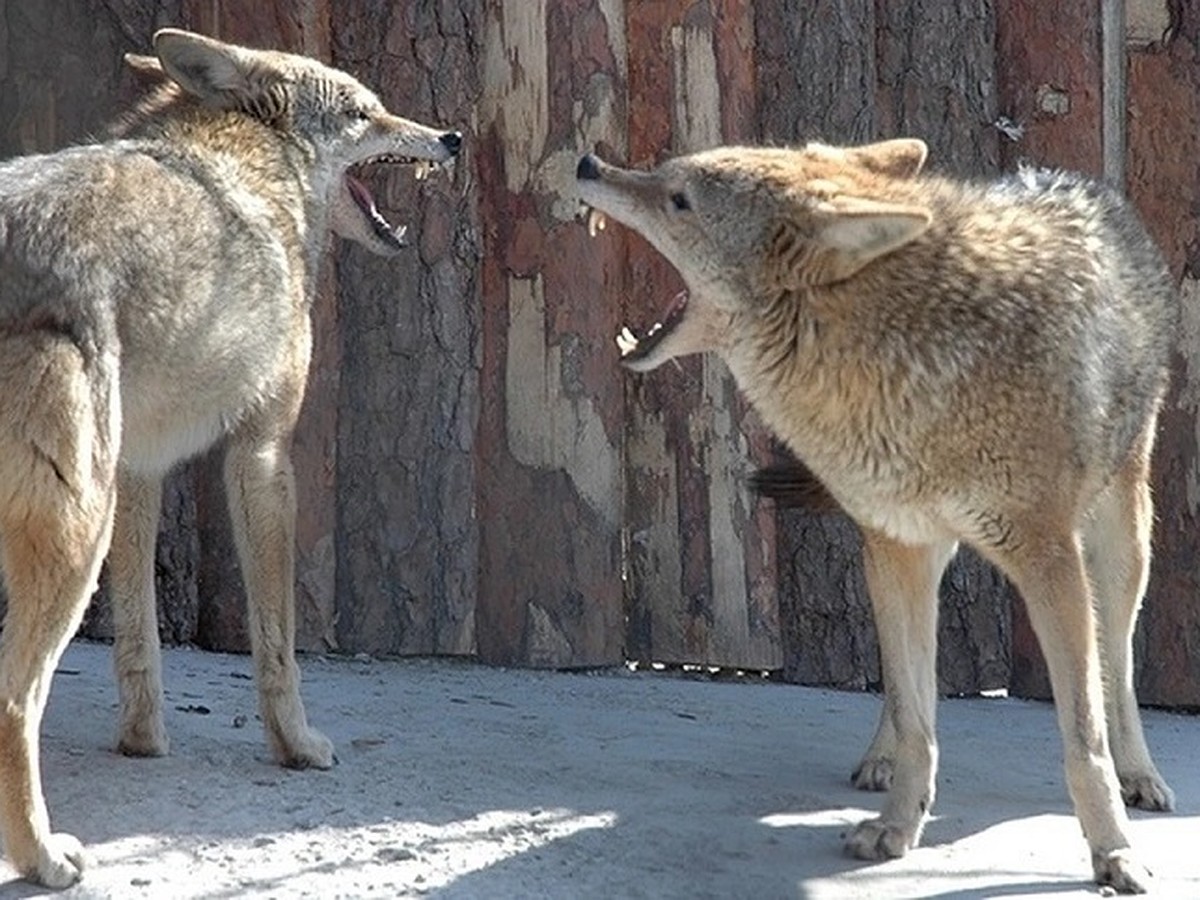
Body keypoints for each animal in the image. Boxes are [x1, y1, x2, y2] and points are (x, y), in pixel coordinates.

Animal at [0, 28, 458, 888]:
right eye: (365, 112)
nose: (450, 137)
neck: (251, 167)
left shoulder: (139, 472)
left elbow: (141, 639)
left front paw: (143, 741)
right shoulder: (264, 454)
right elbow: (277, 642)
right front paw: (297, 748)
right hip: (74, 537)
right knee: (15, 703)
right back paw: (43, 857)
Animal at [576, 141, 1176, 897]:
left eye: (678, 198)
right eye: (663, 175)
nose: (588, 163)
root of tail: (1080, 183)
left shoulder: (1050, 561)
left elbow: (1083, 737)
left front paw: (1114, 852)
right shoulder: (902, 544)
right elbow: (920, 718)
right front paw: (897, 826)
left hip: (1120, 547)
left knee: (1117, 668)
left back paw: (1141, 776)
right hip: (897, 555)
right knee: (899, 684)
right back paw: (881, 759)